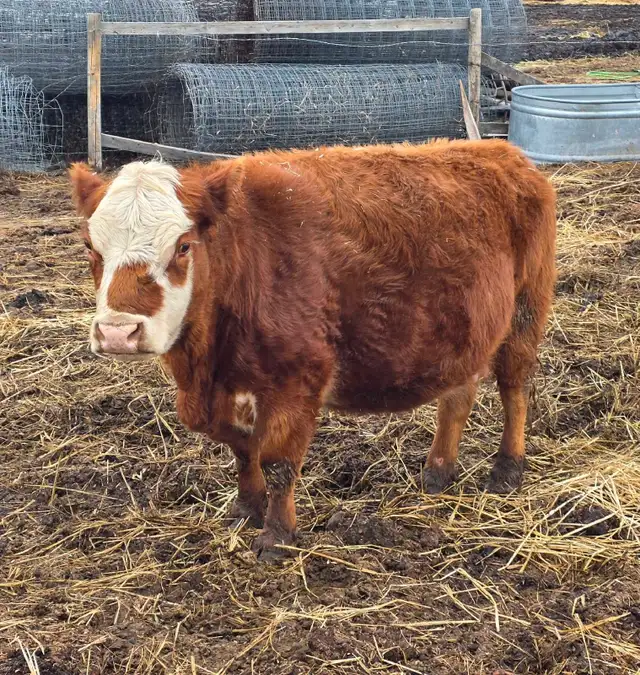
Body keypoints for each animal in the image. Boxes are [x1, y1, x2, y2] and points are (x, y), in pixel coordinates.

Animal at [69, 139, 556, 560]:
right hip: (463, 335)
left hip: (525, 313)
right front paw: (247, 506)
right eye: (91, 247)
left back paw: (508, 468)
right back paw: (438, 470)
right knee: (457, 398)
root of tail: (502, 152)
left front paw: (277, 535)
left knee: (514, 388)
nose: (118, 332)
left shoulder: (297, 380)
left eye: (183, 246)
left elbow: (279, 460)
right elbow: (242, 447)